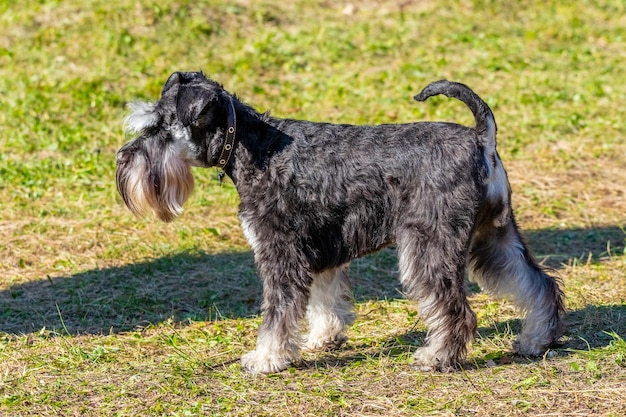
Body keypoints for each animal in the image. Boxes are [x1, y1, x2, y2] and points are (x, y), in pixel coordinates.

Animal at [114, 71, 564, 374]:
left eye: (158, 128)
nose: (122, 160)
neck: (250, 145)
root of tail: (481, 139)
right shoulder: (320, 249)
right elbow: (323, 300)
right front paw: (322, 339)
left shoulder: (280, 253)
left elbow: (278, 312)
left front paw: (266, 358)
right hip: (494, 237)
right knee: (537, 282)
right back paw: (536, 339)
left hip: (429, 247)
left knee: (456, 309)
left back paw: (436, 356)